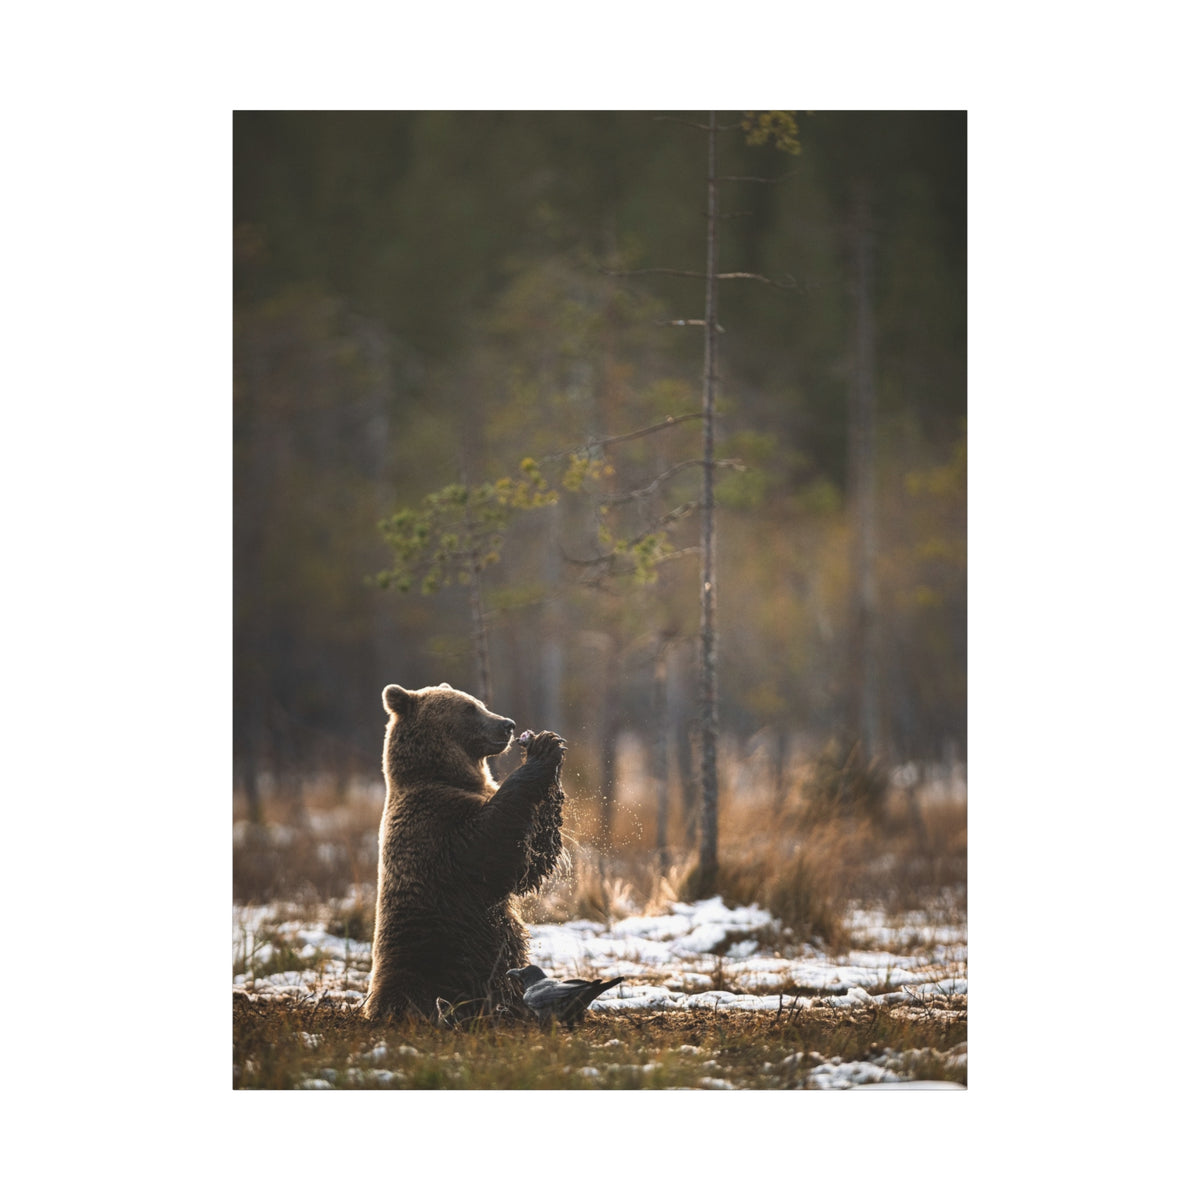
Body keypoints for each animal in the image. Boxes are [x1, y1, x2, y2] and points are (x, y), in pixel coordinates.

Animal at [362, 682, 566, 1021]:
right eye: (469, 708)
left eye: (479, 703)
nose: (508, 724)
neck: (443, 775)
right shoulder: (440, 828)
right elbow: (494, 850)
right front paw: (543, 752)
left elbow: (529, 861)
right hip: (435, 959)